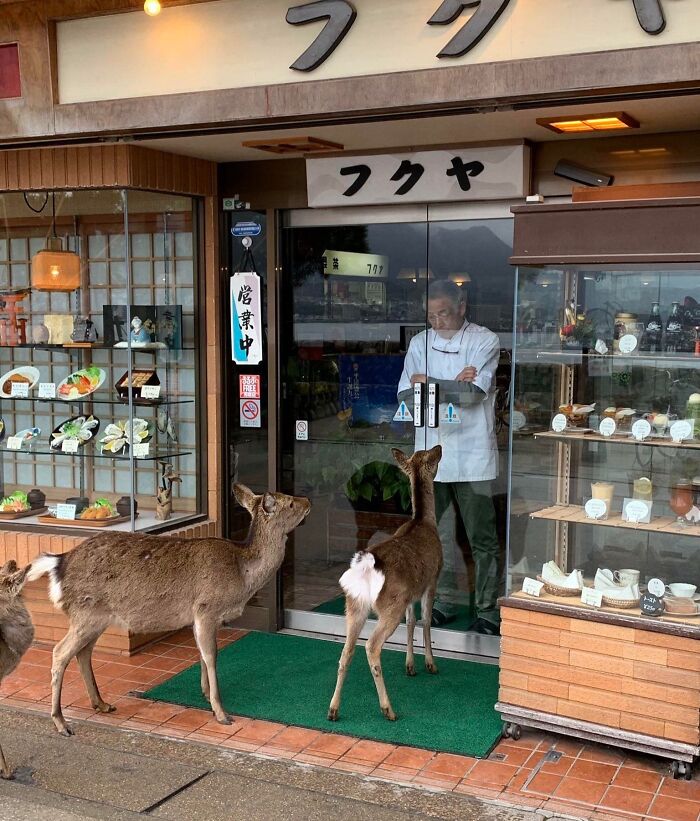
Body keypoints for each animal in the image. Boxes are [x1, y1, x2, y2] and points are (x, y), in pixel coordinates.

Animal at [27, 484, 311, 737]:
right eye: (290, 502)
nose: (308, 500)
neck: (242, 574)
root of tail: (59, 564)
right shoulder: (206, 608)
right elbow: (211, 655)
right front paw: (221, 713)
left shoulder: (201, 617)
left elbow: (202, 654)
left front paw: (205, 693)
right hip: (86, 613)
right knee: (59, 652)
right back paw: (61, 721)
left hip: (96, 617)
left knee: (83, 652)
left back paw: (101, 703)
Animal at [328, 444, 443, 723]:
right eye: (432, 459)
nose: (439, 447)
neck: (423, 521)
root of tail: (367, 565)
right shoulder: (432, 579)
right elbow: (425, 620)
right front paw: (430, 664)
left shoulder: (412, 592)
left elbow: (412, 621)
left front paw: (410, 666)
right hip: (390, 605)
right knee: (371, 645)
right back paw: (388, 708)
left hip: (354, 605)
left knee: (346, 651)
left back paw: (333, 709)